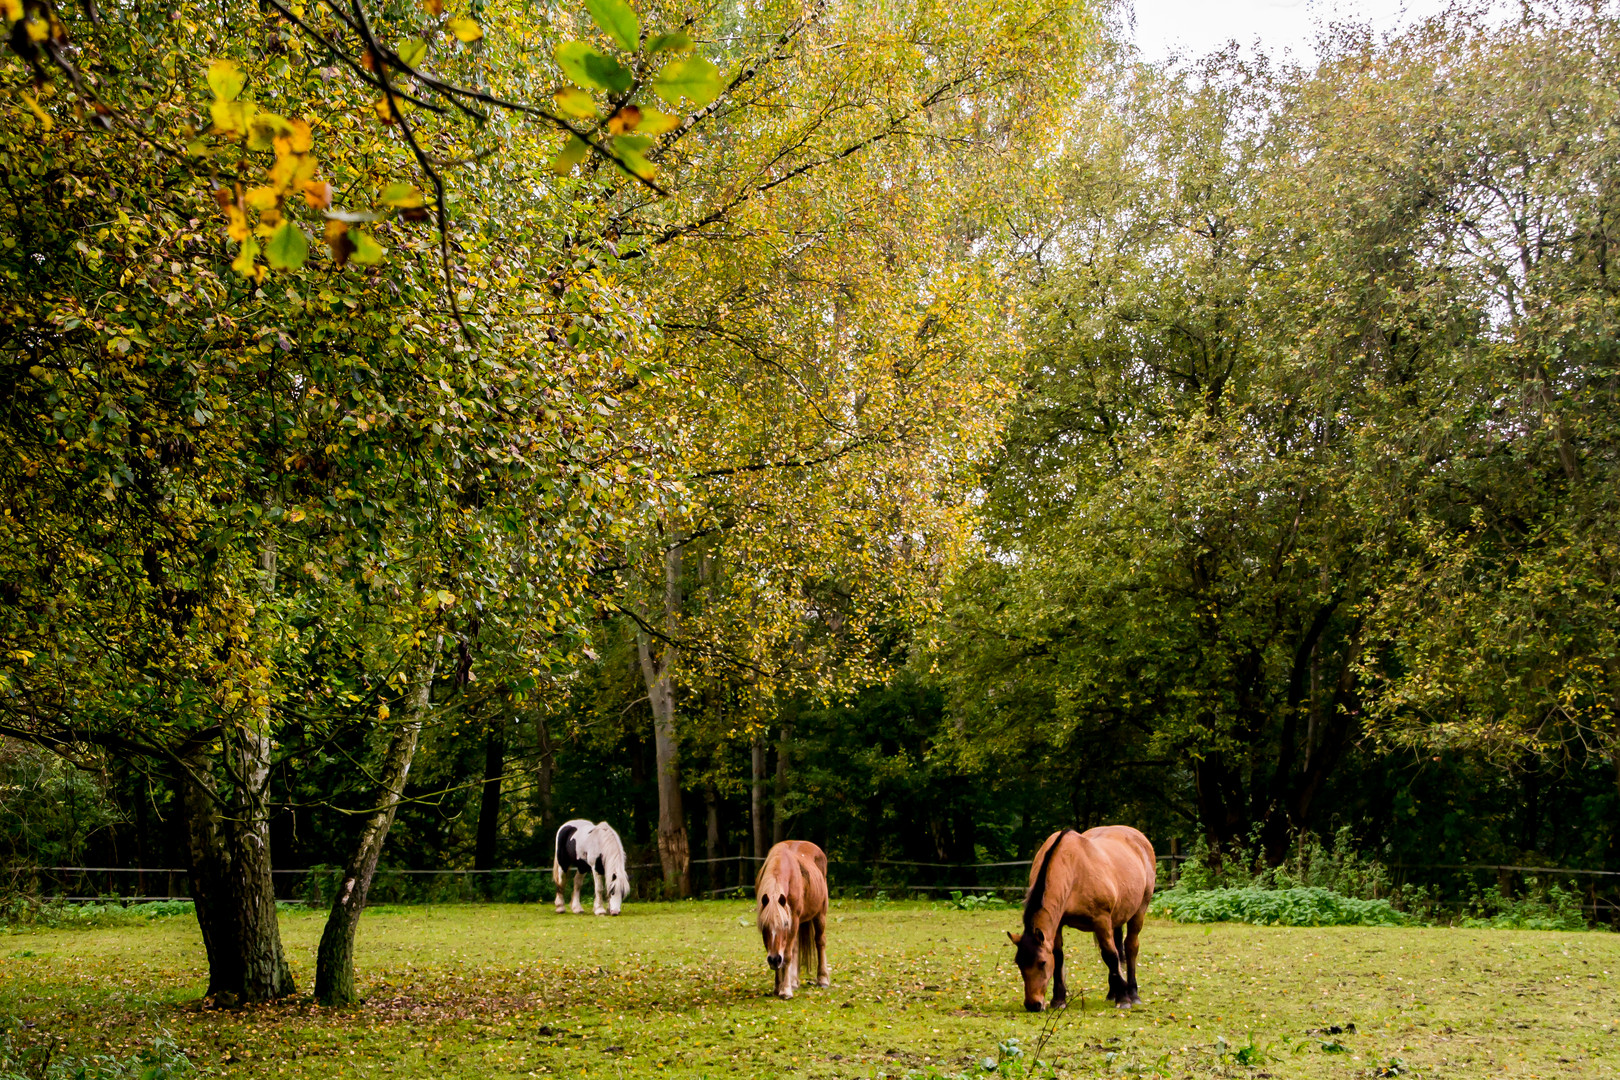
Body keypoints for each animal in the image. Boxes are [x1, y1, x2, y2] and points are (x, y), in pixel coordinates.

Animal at [754, 841, 829, 1003]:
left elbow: (787, 956)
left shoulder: (793, 919)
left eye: (784, 924)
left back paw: (823, 979)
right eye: (764, 927)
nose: (774, 959)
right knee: (794, 948)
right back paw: (794, 981)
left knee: (820, 942)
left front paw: (786, 990)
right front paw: (778, 987)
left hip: (820, 914)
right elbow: (786, 954)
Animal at [1004, 829, 1159, 1016]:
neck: (1072, 868)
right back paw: (1112, 993)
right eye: (1019, 963)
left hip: (1139, 910)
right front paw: (1058, 1000)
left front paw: (1123, 999)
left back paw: (1133, 994)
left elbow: (1110, 955)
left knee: (1130, 948)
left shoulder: (1101, 920)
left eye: (1042, 963)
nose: (1033, 1004)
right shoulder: (1058, 924)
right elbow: (1059, 957)